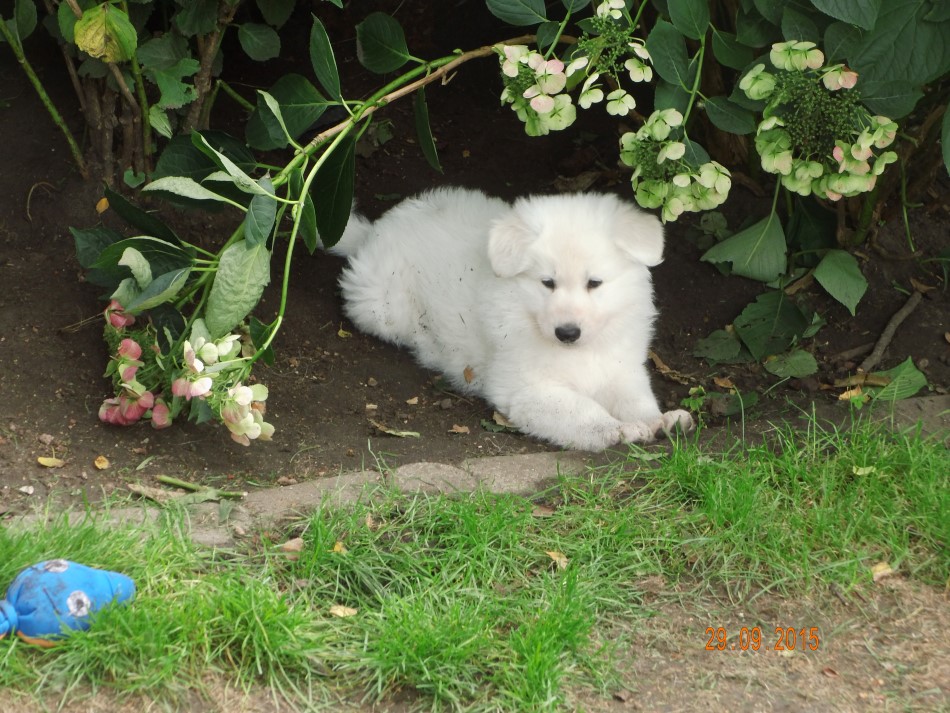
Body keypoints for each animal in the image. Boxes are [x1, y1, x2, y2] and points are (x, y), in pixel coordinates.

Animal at [329, 187, 693, 451]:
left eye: (594, 283)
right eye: (547, 283)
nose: (567, 333)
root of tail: (374, 231)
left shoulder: (620, 368)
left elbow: (635, 398)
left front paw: (660, 420)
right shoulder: (526, 390)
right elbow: (582, 411)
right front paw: (619, 429)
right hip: (382, 308)